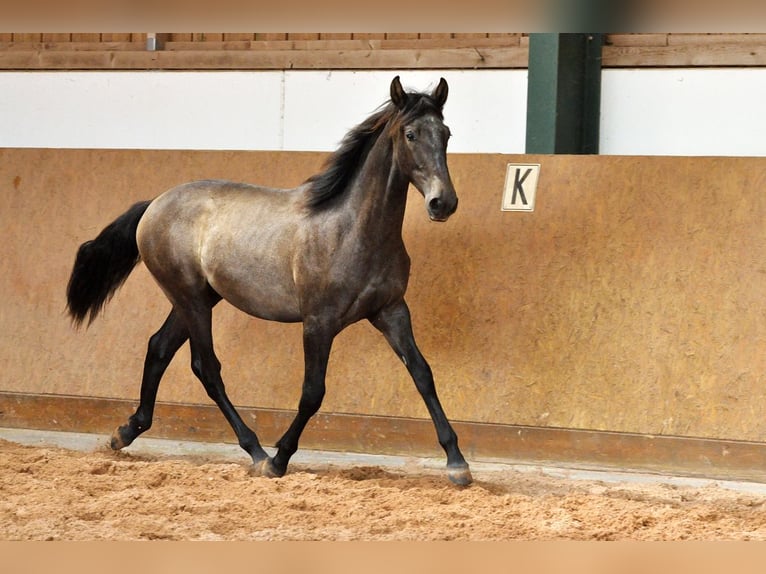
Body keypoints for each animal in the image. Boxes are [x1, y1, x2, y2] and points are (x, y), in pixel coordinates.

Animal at [65, 76, 472, 486]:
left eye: (446, 133)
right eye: (410, 134)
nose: (443, 203)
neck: (352, 230)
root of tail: (154, 204)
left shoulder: (391, 311)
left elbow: (422, 374)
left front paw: (457, 463)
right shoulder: (319, 322)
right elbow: (312, 392)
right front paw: (280, 459)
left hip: (196, 299)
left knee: (159, 347)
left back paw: (125, 432)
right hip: (190, 299)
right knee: (206, 368)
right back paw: (256, 452)